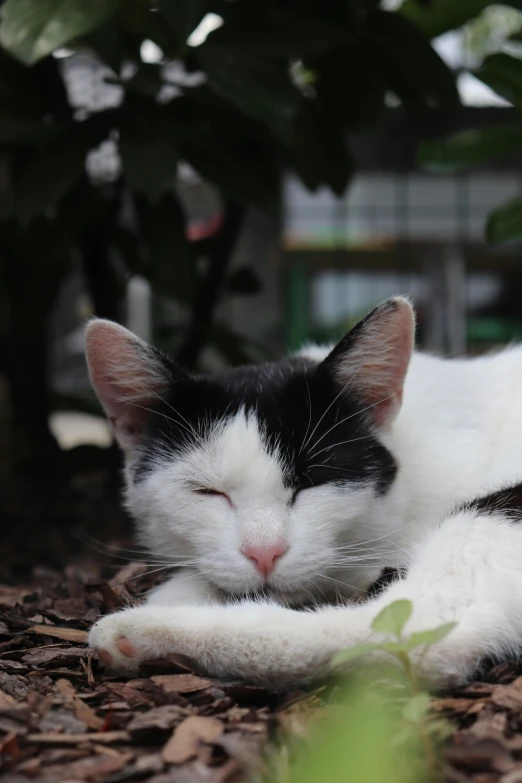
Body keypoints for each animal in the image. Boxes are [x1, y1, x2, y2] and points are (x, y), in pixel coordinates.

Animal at [84, 298, 522, 688]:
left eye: (312, 482)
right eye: (207, 491)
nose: (264, 553)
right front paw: (181, 589)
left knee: (418, 628)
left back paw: (143, 632)